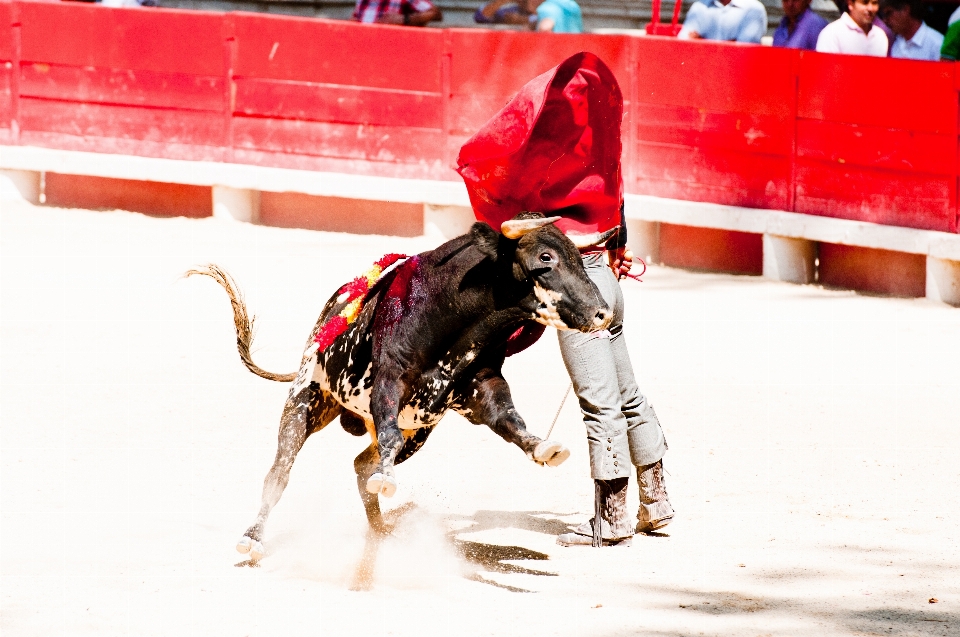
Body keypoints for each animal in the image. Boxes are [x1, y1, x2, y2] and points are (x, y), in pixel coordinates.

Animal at [188, 215, 616, 560]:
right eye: (546, 258)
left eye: (580, 259)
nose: (603, 313)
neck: (452, 313)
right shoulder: (389, 380)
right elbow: (388, 434)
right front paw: (388, 481)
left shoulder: (483, 385)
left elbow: (509, 418)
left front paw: (544, 448)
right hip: (306, 399)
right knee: (279, 473)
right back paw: (252, 539)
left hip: (418, 433)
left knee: (362, 465)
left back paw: (381, 530)